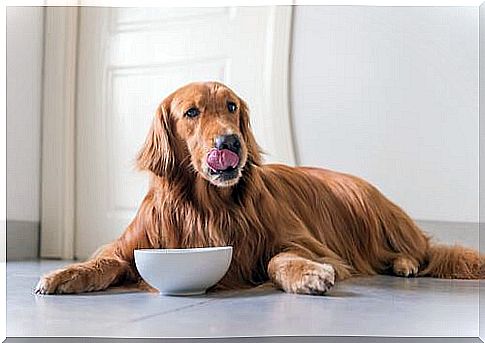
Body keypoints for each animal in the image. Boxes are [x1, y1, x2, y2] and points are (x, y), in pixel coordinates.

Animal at [35, 81, 484, 296]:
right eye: (192, 112)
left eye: (232, 106)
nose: (230, 142)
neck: (207, 205)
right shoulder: (135, 243)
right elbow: (104, 261)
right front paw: (63, 274)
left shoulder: (308, 243)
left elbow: (278, 259)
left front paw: (307, 274)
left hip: (370, 209)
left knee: (422, 251)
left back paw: (405, 262)